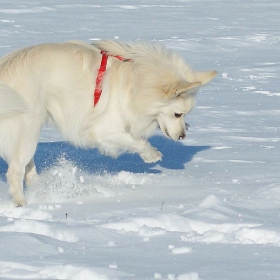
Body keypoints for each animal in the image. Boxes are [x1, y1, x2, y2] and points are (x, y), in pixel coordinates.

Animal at [0, 40, 217, 206]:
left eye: (186, 114)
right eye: (177, 114)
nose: (182, 136)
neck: (135, 84)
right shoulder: (103, 129)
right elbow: (136, 141)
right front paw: (151, 155)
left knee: (27, 169)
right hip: (29, 129)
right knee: (15, 170)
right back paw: (23, 205)